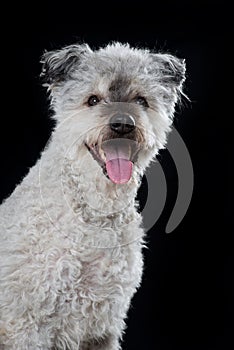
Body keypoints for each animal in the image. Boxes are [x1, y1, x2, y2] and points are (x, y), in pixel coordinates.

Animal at [0, 42, 186, 348]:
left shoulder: (103, 328)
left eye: (141, 100)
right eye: (93, 100)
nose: (122, 124)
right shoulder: (24, 327)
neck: (94, 214)